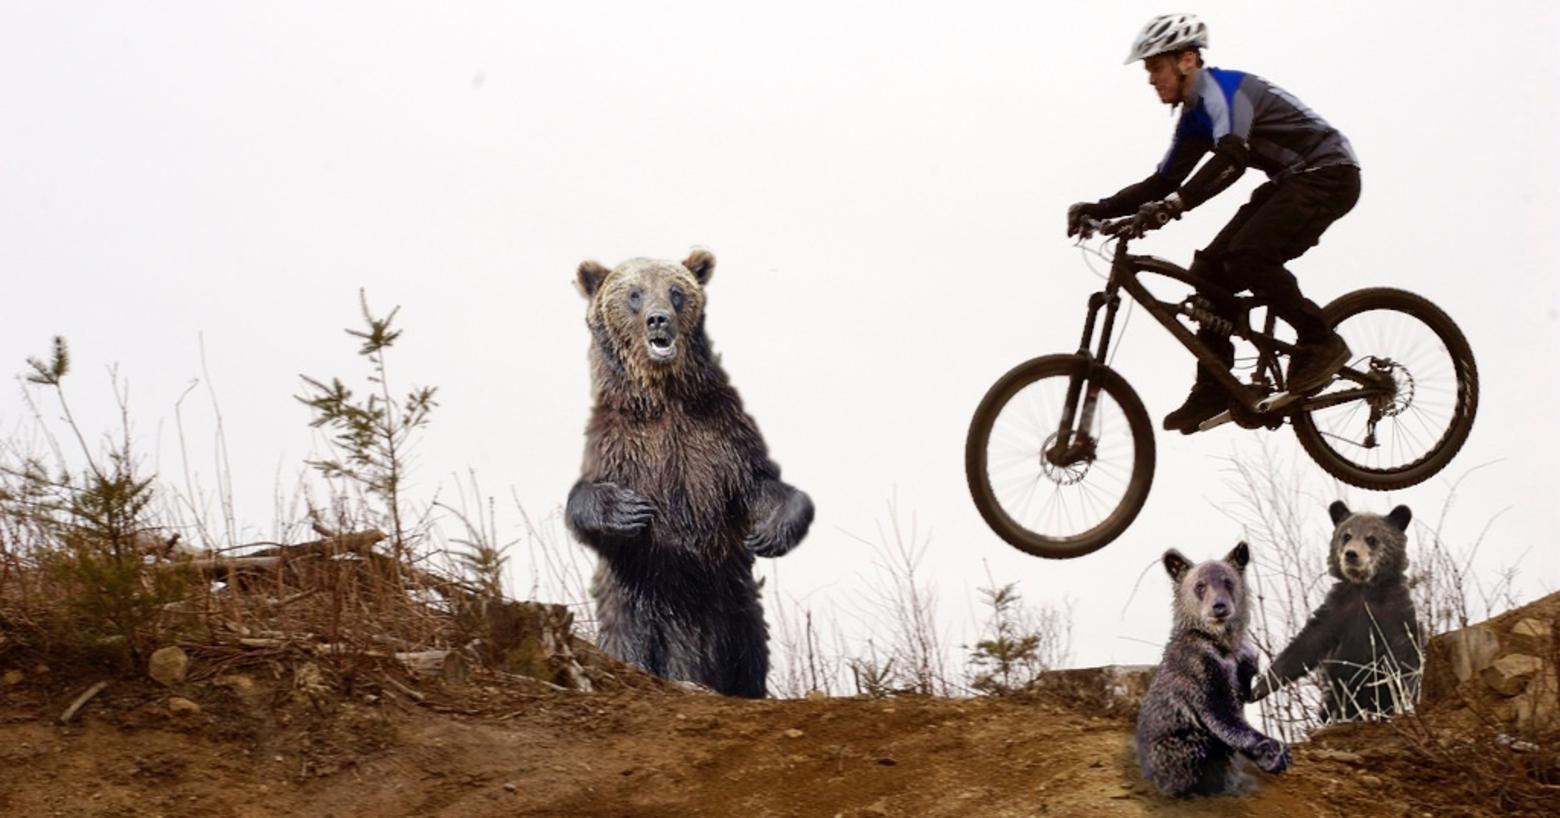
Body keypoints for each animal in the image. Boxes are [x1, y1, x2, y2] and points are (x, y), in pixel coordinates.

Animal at [574, 248, 817, 696]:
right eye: (634, 294)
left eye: (676, 291)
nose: (658, 319)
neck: (665, 396)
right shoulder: (621, 444)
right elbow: (584, 502)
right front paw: (630, 510)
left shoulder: (719, 437)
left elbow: (760, 485)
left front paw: (770, 532)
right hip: (637, 609)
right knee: (631, 641)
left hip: (735, 611)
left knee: (749, 656)